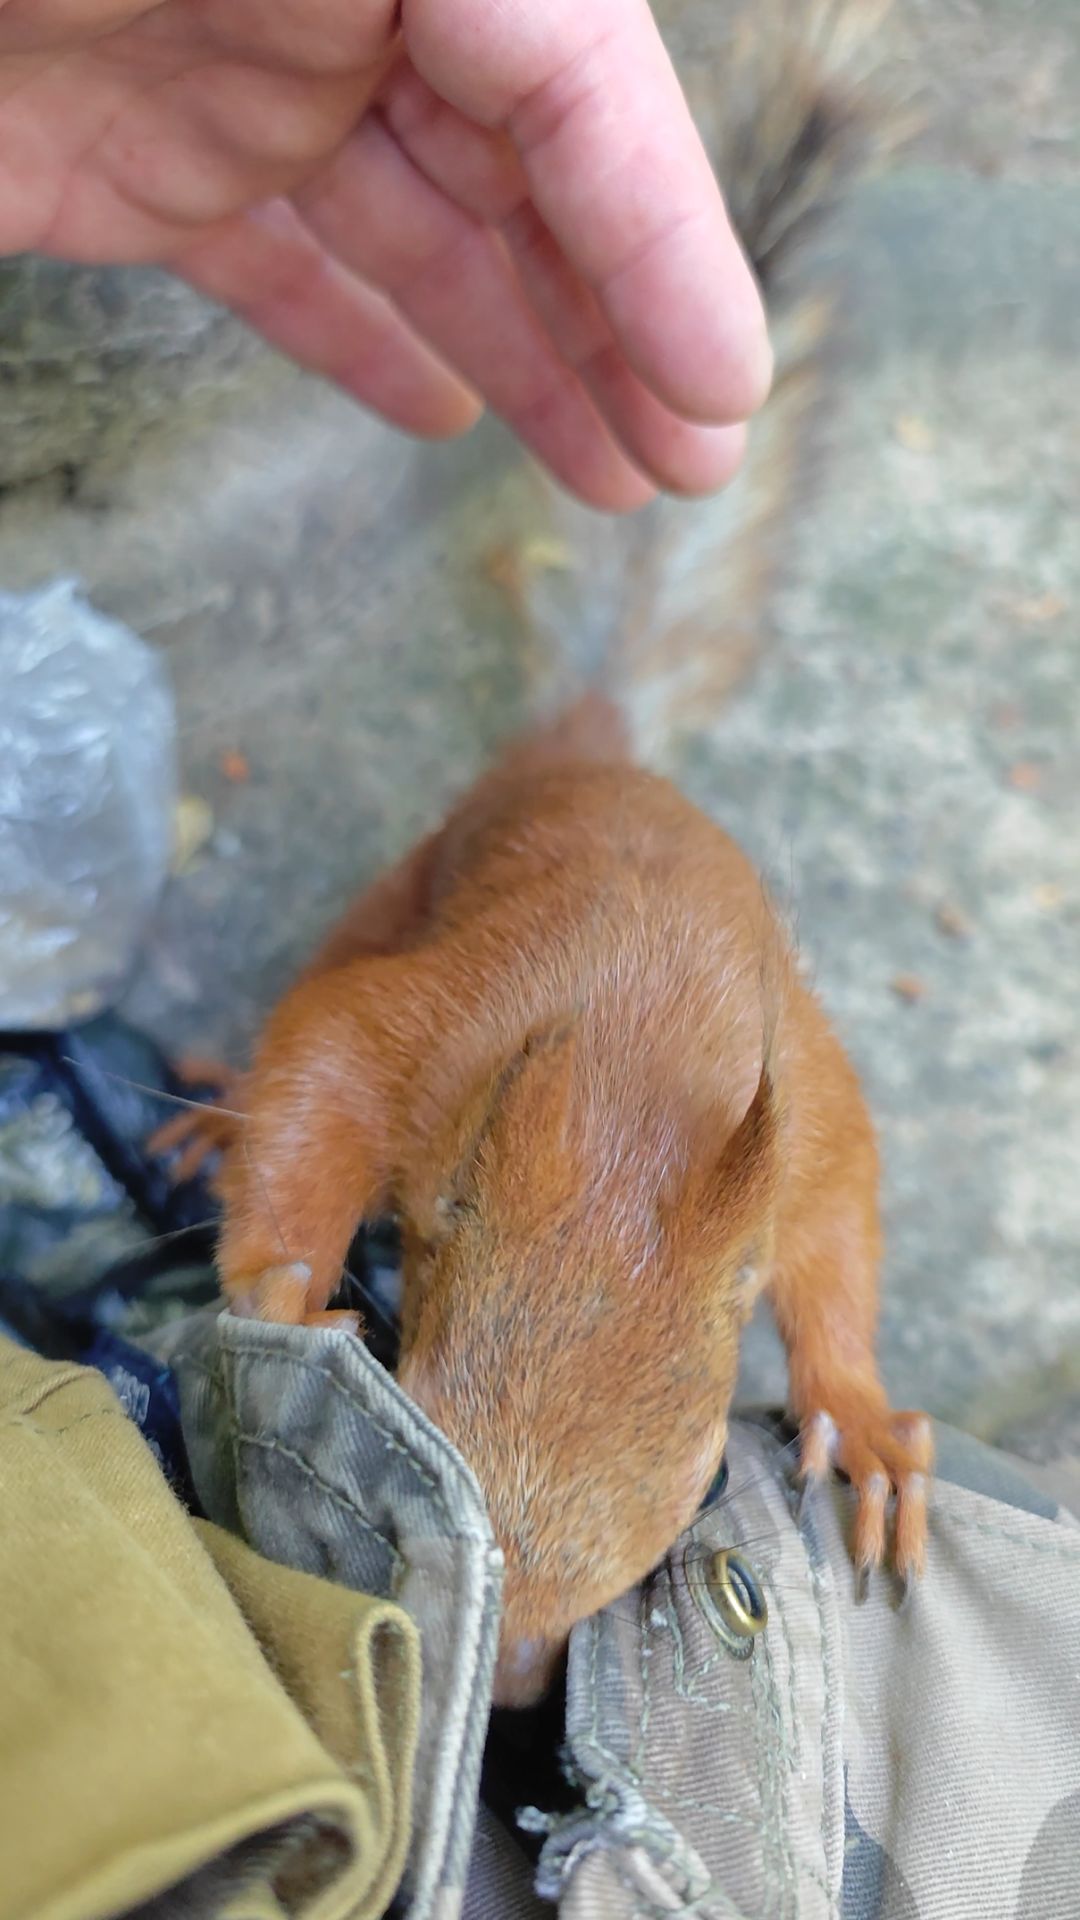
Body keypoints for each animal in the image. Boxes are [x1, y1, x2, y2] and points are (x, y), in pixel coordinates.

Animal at [153, 0, 932, 1709]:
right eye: (415, 1374)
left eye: (696, 1482)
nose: (506, 1690)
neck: (639, 1076)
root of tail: (598, 748)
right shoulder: (449, 1010)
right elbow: (324, 1058)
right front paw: (282, 1284)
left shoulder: (801, 1101)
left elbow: (840, 1224)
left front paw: (865, 1424)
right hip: (412, 870)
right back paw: (201, 1114)